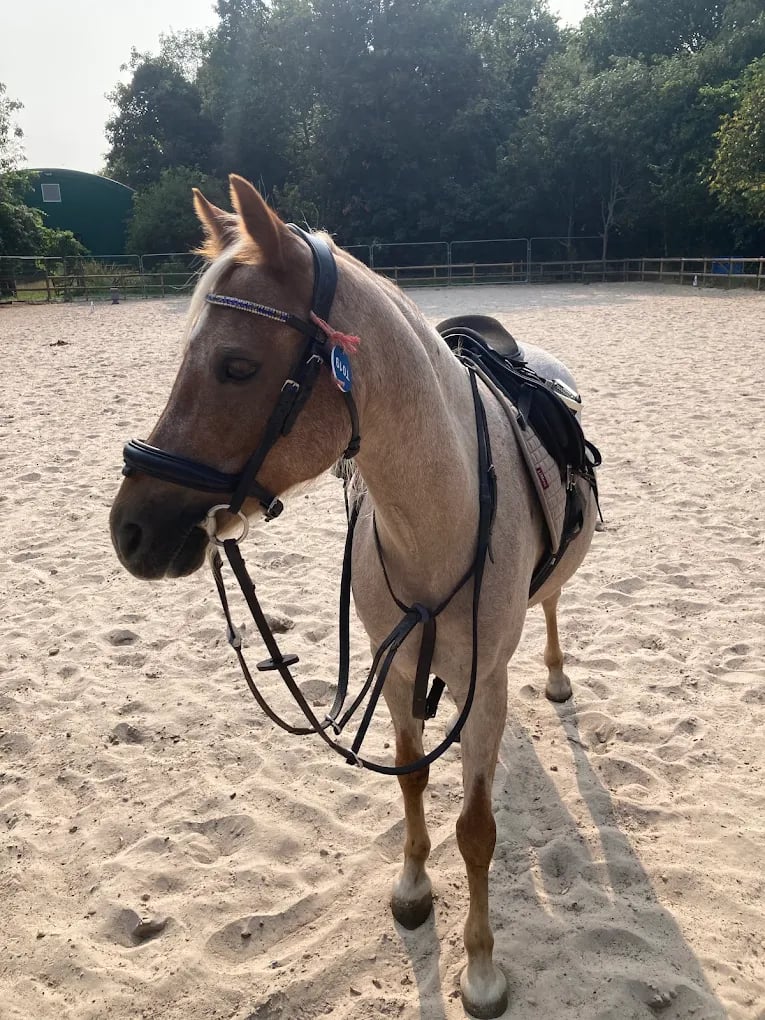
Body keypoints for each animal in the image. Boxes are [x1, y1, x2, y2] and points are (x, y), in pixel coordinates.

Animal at [110, 175, 599, 1019]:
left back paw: (558, 674)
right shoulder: (398, 669)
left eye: (236, 366)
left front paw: (481, 971)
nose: (129, 529)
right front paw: (410, 890)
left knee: (549, 606)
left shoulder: (482, 683)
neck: (440, 513)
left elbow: (476, 830)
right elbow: (411, 781)